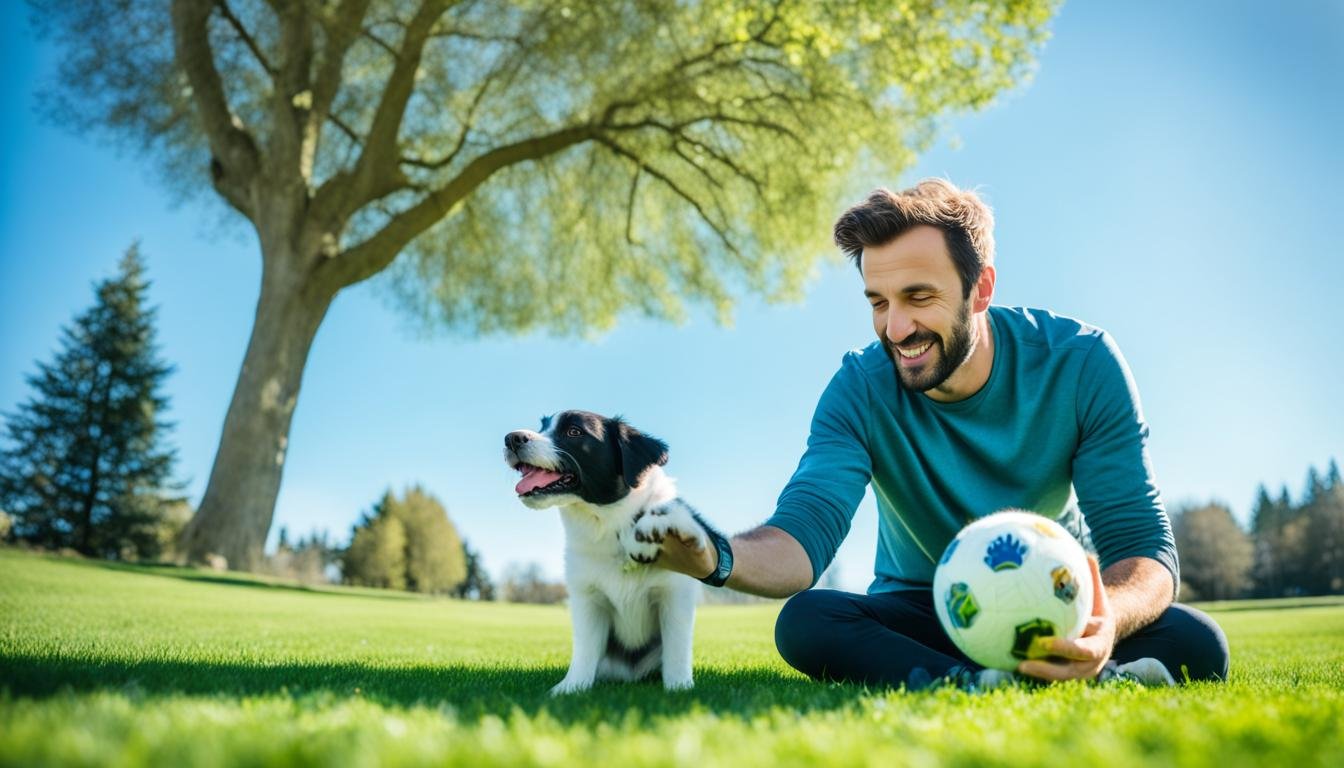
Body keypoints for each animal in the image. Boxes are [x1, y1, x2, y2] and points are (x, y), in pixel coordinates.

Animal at [505, 411, 709, 694]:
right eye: (542, 426)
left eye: (574, 432)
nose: (511, 438)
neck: (612, 525)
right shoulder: (587, 600)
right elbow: (585, 650)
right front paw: (570, 688)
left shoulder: (675, 595)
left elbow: (676, 650)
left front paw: (679, 689)